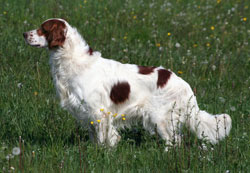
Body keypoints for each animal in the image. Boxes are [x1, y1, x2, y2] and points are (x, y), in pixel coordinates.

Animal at [23, 18, 232, 151]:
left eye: (43, 29)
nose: (25, 33)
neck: (73, 61)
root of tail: (185, 85)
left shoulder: (99, 112)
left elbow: (104, 139)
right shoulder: (88, 113)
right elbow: (95, 137)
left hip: (160, 119)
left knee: (174, 142)